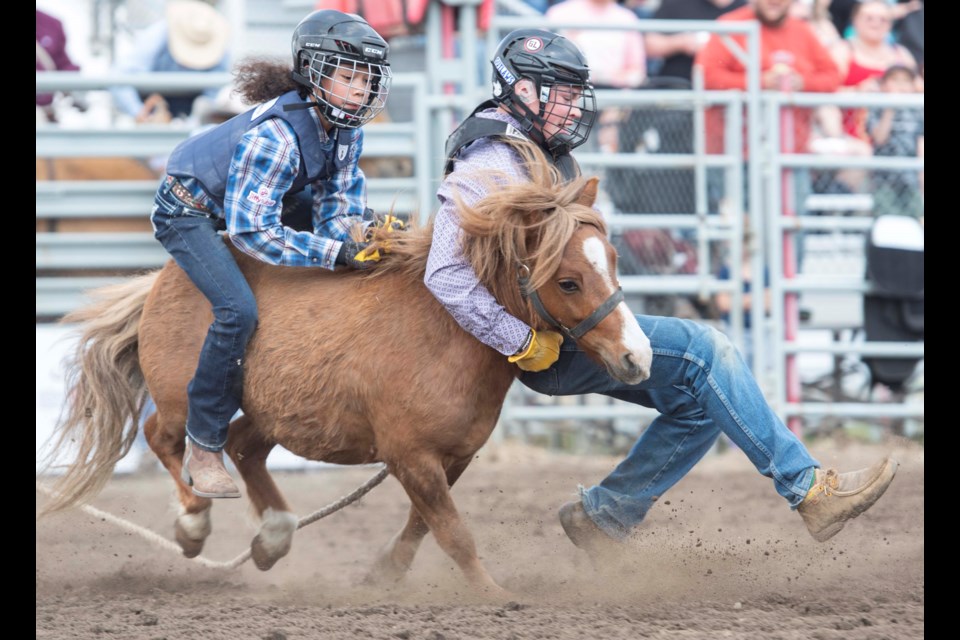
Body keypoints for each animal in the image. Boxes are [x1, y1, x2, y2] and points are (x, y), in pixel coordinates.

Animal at [37, 140, 652, 596]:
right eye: (568, 281)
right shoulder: (410, 457)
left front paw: (383, 574)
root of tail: (162, 283)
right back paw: (194, 519)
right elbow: (454, 532)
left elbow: (424, 524)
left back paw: (273, 536)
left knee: (242, 445)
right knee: (170, 438)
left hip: (275, 410)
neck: (449, 331)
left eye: (612, 259)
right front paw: (494, 596)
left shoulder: (452, 457)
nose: (638, 356)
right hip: (180, 395)